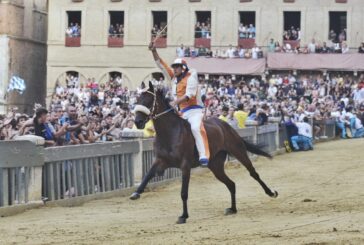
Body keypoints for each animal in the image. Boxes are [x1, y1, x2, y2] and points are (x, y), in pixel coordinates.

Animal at [131, 82, 278, 224]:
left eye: (149, 100)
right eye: (138, 99)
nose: (138, 122)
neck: (170, 133)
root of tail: (226, 126)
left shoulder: (185, 165)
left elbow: (184, 192)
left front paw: (183, 216)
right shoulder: (161, 161)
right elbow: (148, 175)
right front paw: (136, 193)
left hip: (238, 151)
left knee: (253, 173)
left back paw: (271, 193)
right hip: (216, 166)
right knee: (231, 184)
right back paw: (232, 209)